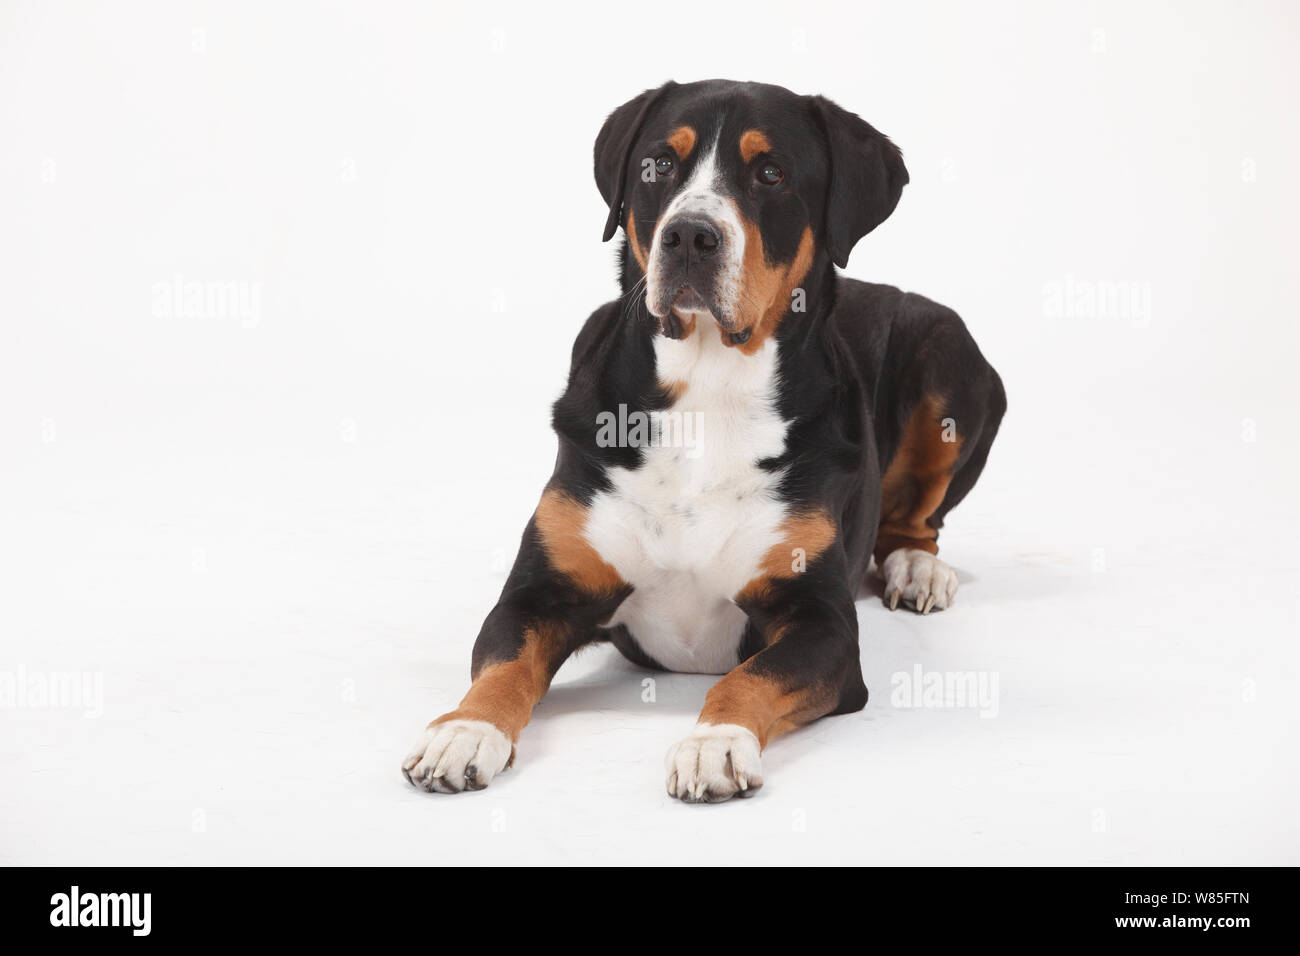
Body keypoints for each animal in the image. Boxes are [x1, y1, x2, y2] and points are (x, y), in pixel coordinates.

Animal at [400, 80, 1008, 801]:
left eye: (771, 173)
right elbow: (503, 664)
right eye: (659, 164)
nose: (690, 234)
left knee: (919, 518)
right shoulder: (542, 588)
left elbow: (751, 676)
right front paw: (466, 731)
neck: (708, 385)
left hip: (951, 354)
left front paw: (714, 743)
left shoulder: (821, 619)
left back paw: (916, 568)